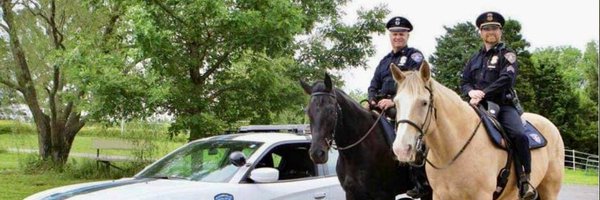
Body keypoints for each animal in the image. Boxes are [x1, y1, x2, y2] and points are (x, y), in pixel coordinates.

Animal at [390, 61, 564, 199]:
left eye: (424, 102)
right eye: (396, 102)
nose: (401, 149)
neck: (453, 151)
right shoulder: (440, 195)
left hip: (549, 191)